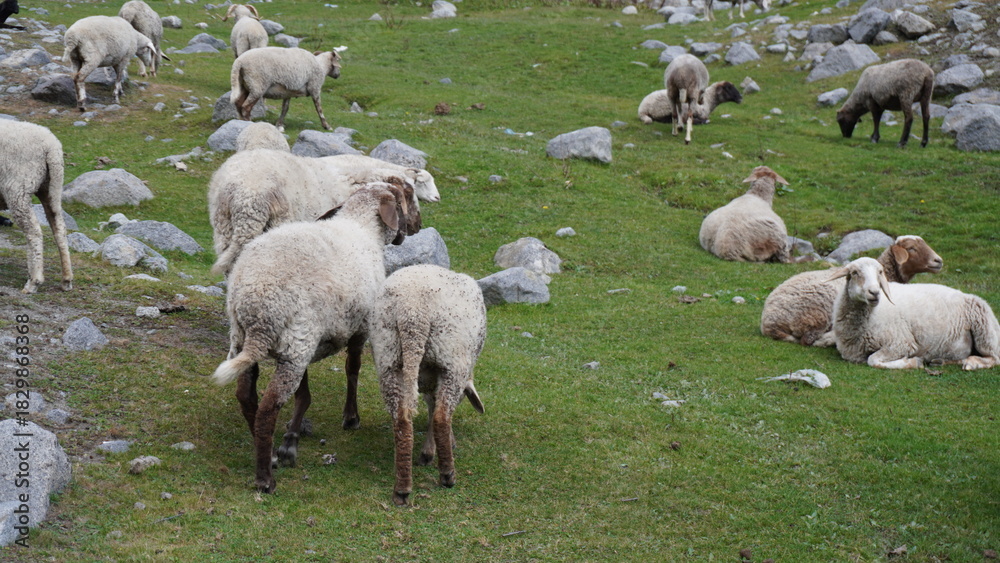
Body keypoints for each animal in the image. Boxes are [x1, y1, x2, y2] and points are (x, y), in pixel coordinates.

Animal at [0, 121, 73, 294]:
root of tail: (51, 147)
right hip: (51, 188)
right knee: (59, 228)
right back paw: (66, 279)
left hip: (17, 188)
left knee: (34, 233)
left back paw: (34, 281)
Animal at [211, 183, 421, 492]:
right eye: (405, 200)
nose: (414, 229)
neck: (360, 226)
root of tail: (257, 305)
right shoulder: (359, 327)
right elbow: (352, 369)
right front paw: (350, 418)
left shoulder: (305, 344)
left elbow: (304, 394)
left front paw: (291, 439)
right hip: (294, 342)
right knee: (268, 407)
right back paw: (265, 478)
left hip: (247, 338)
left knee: (246, 397)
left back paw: (269, 453)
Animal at [370, 264, 487, 506]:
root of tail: (413, 314)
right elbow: (436, 410)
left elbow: (431, 404)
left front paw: (428, 451)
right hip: (451, 357)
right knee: (442, 417)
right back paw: (448, 475)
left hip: (388, 357)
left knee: (402, 420)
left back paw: (402, 489)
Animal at [760, 235, 943, 347]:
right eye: (911, 248)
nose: (938, 261)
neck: (888, 274)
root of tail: (769, 323)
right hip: (817, 314)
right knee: (808, 339)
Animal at [829, 257, 1000, 370]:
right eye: (855, 273)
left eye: (879, 273)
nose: (875, 292)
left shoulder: (901, 343)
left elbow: (873, 360)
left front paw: (912, 362)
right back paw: (941, 361)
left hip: (985, 329)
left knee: (994, 358)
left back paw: (971, 363)